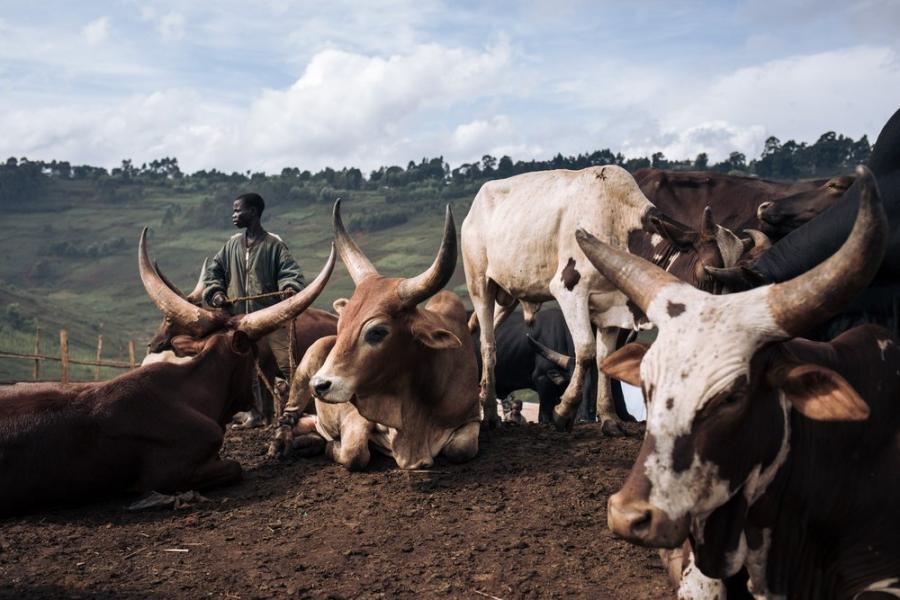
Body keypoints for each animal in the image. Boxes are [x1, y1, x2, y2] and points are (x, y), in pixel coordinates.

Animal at [270, 199, 482, 472]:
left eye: (377, 332)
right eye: (341, 325)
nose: (319, 385)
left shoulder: (472, 416)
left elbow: (461, 449)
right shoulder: (354, 414)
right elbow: (355, 453)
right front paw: (332, 446)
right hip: (304, 372)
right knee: (288, 417)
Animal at [460, 166, 748, 434]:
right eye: (706, 272)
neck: (619, 224)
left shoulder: (611, 308)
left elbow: (604, 360)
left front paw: (609, 419)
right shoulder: (569, 291)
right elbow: (586, 350)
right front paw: (563, 412)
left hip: (505, 298)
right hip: (480, 285)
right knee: (488, 344)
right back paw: (490, 414)